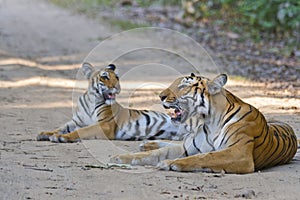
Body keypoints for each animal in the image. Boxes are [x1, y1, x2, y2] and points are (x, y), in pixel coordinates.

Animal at [37, 62, 183, 142]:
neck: (91, 101)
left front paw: (61, 137)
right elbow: (60, 128)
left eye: (117, 78)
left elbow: (82, 130)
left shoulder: (104, 124)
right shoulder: (76, 122)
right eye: (105, 77)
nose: (117, 87)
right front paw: (45, 134)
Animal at [111, 73, 298, 173]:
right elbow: (154, 154)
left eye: (183, 86)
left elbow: (206, 157)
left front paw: (170, 164)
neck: (210, 120)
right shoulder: (190, 147)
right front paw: (119, 157)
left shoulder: (239, 153)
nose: (160, 96)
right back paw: (147, 144)